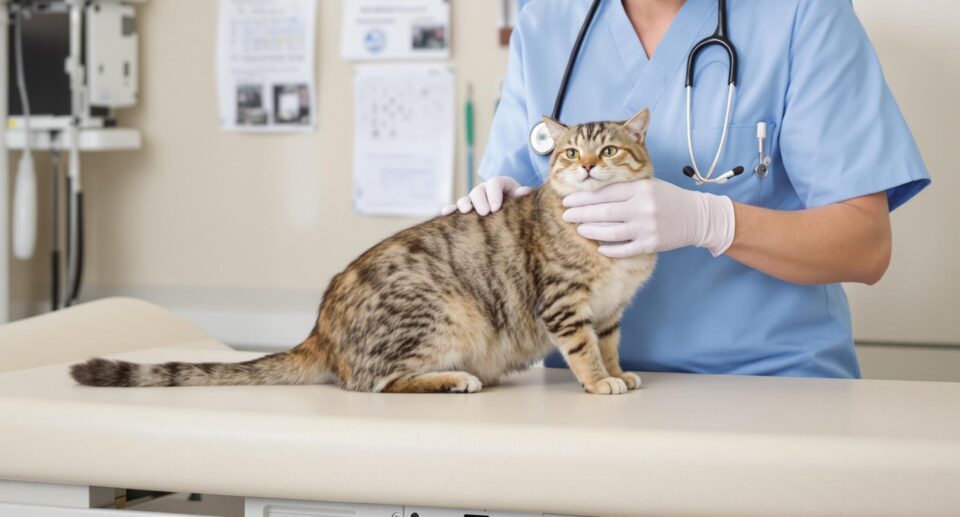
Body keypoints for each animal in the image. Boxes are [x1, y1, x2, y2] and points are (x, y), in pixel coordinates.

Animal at [71, 110, 660, 396]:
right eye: (568, 152)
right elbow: (583, 351)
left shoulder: (611, 311)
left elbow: (608, 345)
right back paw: (454, 379)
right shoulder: (564, 304)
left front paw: (619, 371)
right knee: (371, 382)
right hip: (444, 314)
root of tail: (321, 330)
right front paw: (599, 381)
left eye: (609, 150)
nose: (587, 166)